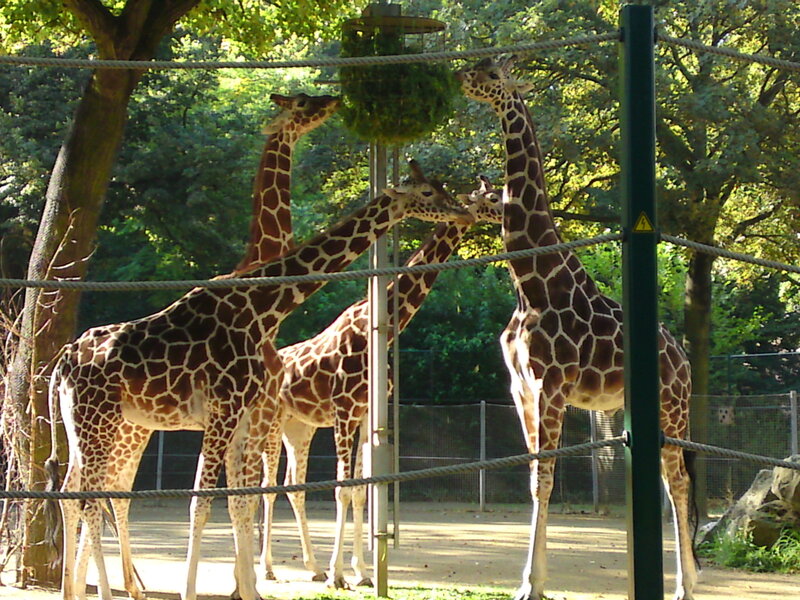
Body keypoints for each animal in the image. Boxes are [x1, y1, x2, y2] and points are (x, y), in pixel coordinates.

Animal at [47, 165, 472, 600]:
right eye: (426, 192)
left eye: (442, 187)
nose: (463, 212)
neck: (262, 307)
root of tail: (60, 366)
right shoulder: (225, 407)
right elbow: (203, 502)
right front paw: (195, 589)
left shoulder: (239, 414)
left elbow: (239, 502)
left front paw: (250, 589)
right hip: (100, 420)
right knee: (92, 498)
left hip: (87, 423)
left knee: (75, 492)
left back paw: (73, 588)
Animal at [256, 174, 503, 589]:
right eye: (492, 197)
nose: (510, 210)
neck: (381, 329)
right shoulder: (343, 410)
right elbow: (342, 489)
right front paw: (339, 576)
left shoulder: (364, 413)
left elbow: (360, 490)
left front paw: (360, 572)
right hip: (272, 423)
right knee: (268, 486)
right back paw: (269, 568)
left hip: (299, 426)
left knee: (293, 485)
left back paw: (311, 566)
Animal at [456, 57, 697, 600]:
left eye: (492, 74)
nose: (461, 78)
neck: (530, 282)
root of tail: (685, 358)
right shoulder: (521, 387)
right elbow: (533, 477)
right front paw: (530, 582)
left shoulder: (553, 384)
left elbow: (546, 478)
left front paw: (532, 584)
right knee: (667, 478)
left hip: (673, 407)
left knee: (679, 481)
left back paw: (686, 586)